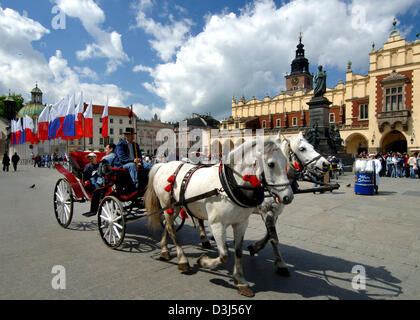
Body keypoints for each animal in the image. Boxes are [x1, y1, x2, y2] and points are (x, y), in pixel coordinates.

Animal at [146, 133, 294, 298]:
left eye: (286, 161)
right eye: (271, 164)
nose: (288, 196)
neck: (230, 185)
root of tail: (163, 165)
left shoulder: (241, 223)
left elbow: (238, 251)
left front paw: (241, 280)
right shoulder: (217, 224)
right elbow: (224, 255)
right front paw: (204, 262)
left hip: (175, 207)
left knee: (168, 225)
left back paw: (164, 250)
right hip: (167, 204)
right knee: (172, 229)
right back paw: (182, 260)